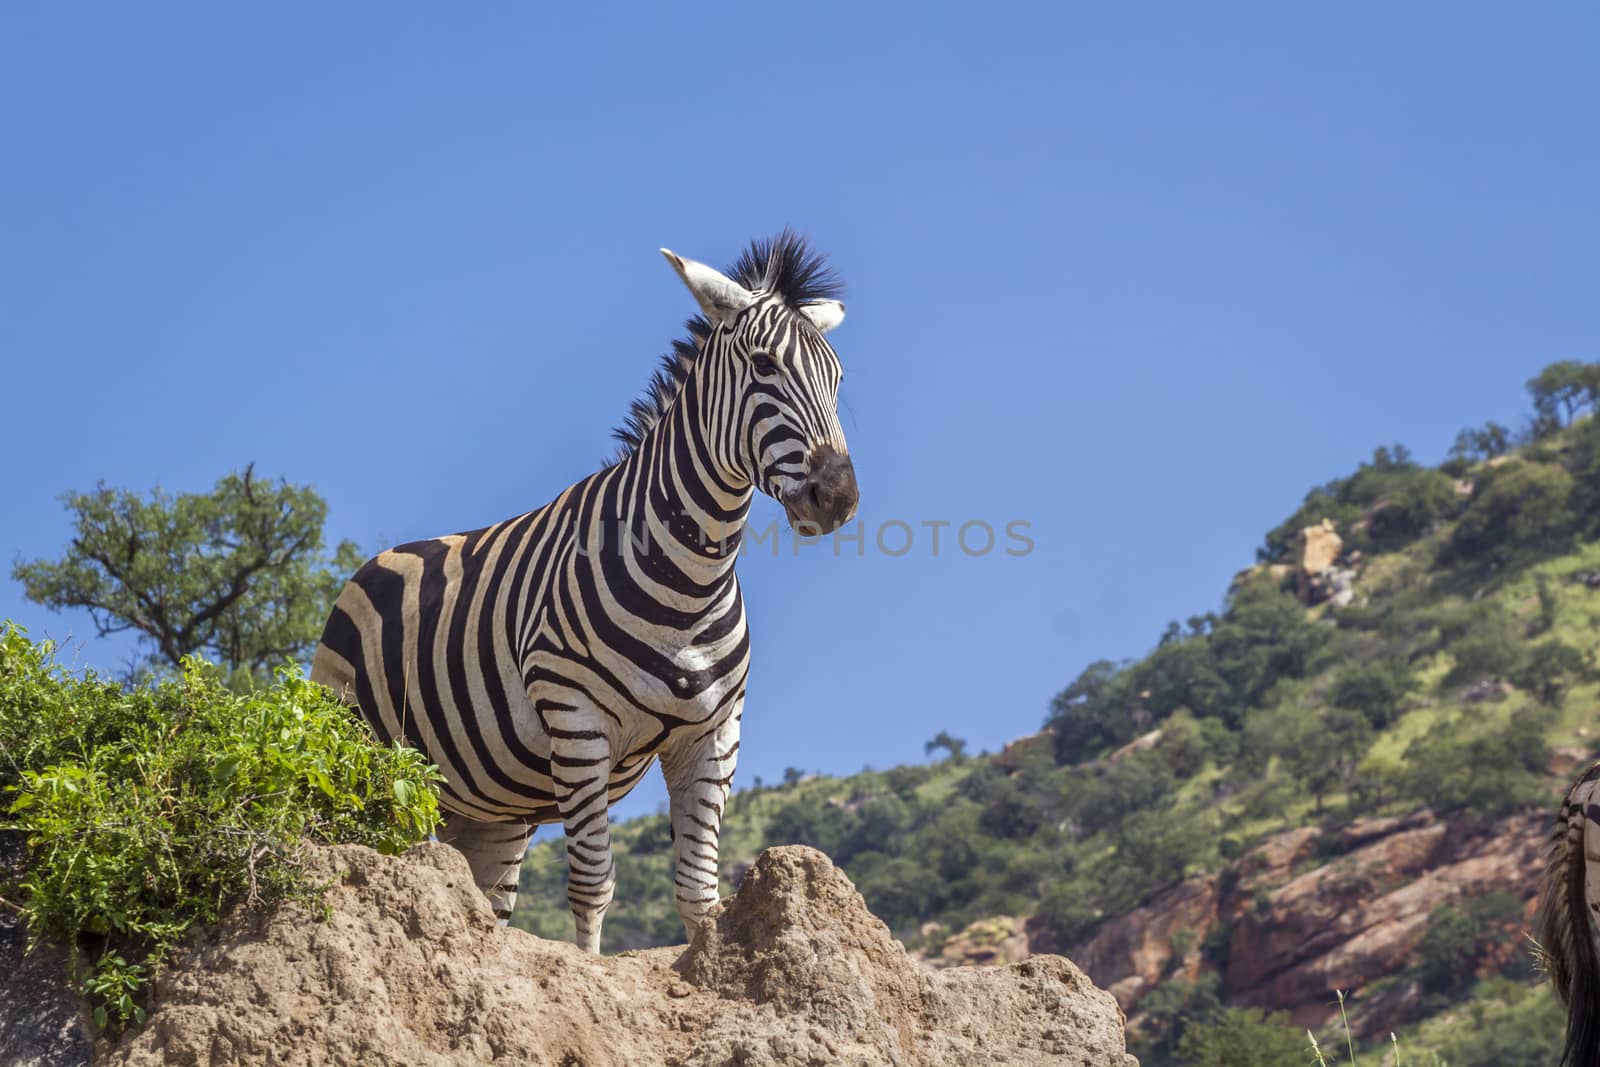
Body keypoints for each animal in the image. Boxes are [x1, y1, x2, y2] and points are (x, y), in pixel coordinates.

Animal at [315, 231, 864, 953]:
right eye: (765, 366)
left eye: (837, 379)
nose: (840, 497)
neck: (689, 580)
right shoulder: (577, 722)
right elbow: (593, 884)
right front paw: (591, 970)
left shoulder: (714, 733)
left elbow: (699, 892)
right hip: (364, 766)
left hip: (488, 805)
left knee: (485, 903)